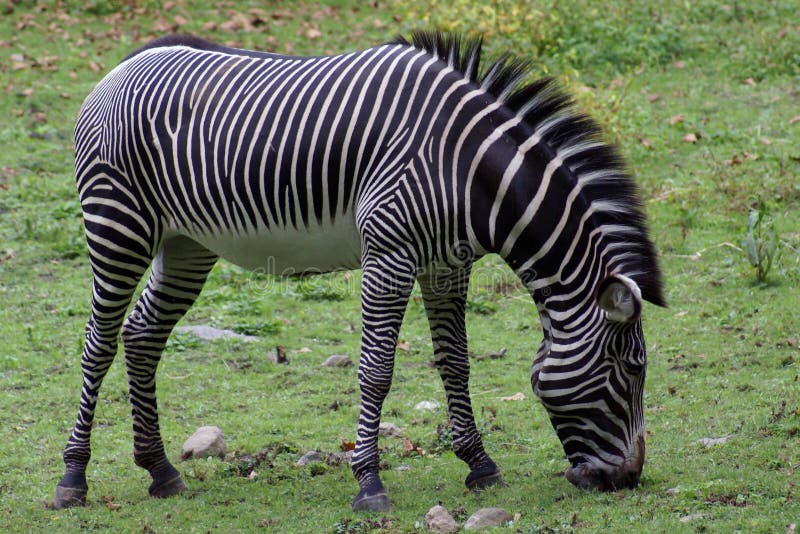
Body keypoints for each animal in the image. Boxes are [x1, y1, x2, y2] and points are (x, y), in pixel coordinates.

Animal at [53, 32, 665, 512]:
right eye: (632, 369)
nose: (627, 480)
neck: (467, 170)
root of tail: (123, 65)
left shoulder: (447, 263)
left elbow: (455, 364)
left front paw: (481, 465)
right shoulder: (389, 253)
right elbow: (377, 371)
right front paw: (369, 483)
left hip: (186, 242)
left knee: (141, 336)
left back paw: (160, 471)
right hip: (118, 223)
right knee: (99, 342)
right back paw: (72, 479)